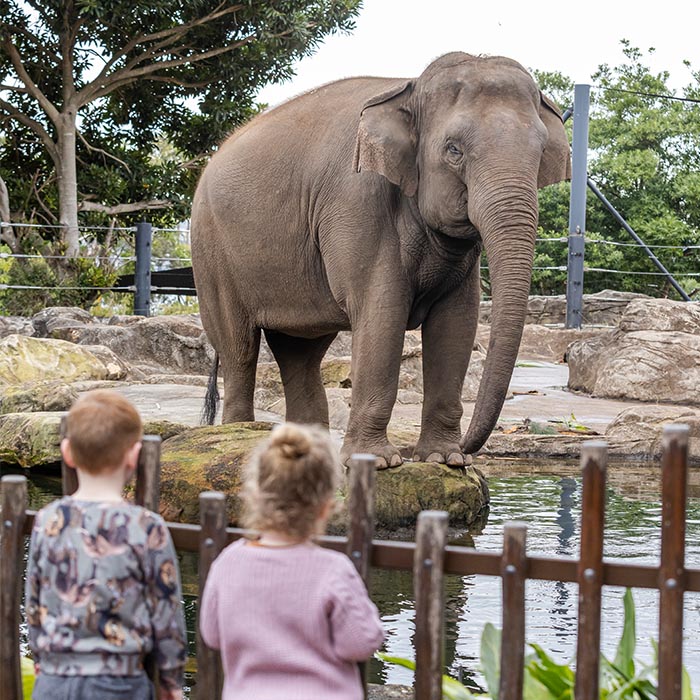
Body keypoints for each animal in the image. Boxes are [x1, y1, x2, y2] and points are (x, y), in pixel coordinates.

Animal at [190, 52, 568, 468]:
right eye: (453, 150)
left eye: (540, 154)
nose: (471, 448)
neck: (409, 87)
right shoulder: (356, 203)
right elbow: (382, 311)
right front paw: (378, 462)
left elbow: (457, 322)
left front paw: (445, 459)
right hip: (211, 252)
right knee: (239, 347)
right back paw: (237, 433)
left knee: (300, 352)